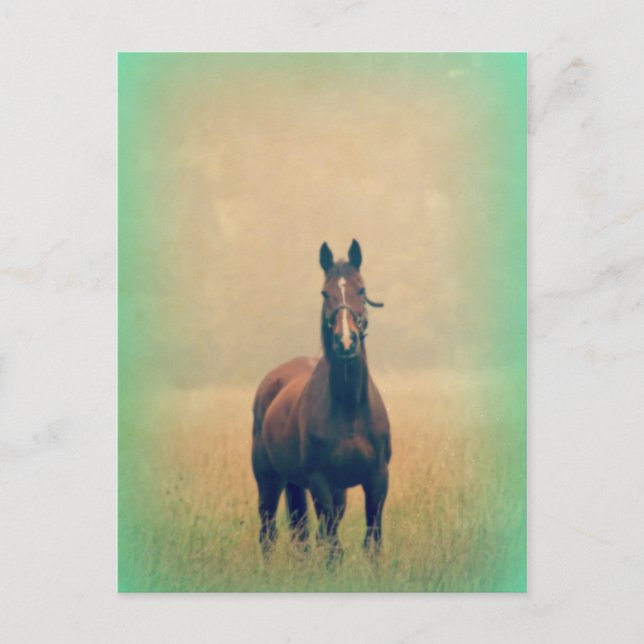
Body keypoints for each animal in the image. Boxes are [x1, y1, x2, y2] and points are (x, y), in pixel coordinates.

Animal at [251, 239, 391, 561]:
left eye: (361, 290)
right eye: (325, 293)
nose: (346, 341)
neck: (349, 407)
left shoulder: (377, 479)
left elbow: (373, 542)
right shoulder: (320, 481)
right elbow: (332, 547)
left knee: (301, 534)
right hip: (268, 480)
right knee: (268, 533)